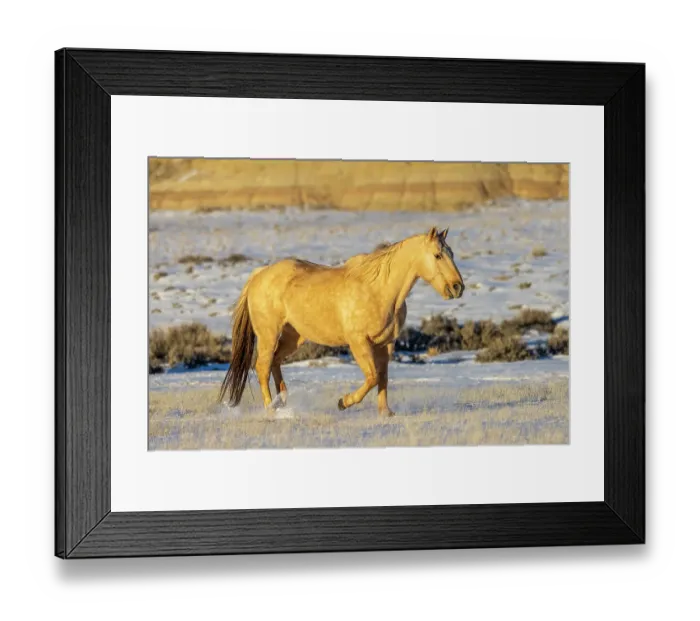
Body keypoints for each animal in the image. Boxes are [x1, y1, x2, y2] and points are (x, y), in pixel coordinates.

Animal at [219, 226, 464, 417]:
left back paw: (283, 401)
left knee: (275, 362)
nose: (457, 287)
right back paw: (271, 409)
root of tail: (259, 274)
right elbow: (373, 377)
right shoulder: (358, 342)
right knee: (262, 366)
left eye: (451, 252)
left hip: (293, 337)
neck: (379, 291)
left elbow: (383, 377)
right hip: (268, 334)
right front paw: (343, 402)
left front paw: (385, 412)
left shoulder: (385, 344)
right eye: (437, 255)